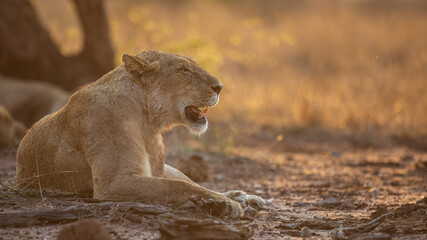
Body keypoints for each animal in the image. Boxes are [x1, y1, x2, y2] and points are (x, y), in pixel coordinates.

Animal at [15, 51, 264, 219]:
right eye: (183, 70)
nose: (220, 86)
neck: (148, 123)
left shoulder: (155, 172)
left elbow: (185, 185)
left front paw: (226, 200)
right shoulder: (114, 183)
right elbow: (179, 187)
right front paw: (224, 204)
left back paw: (244, 196)